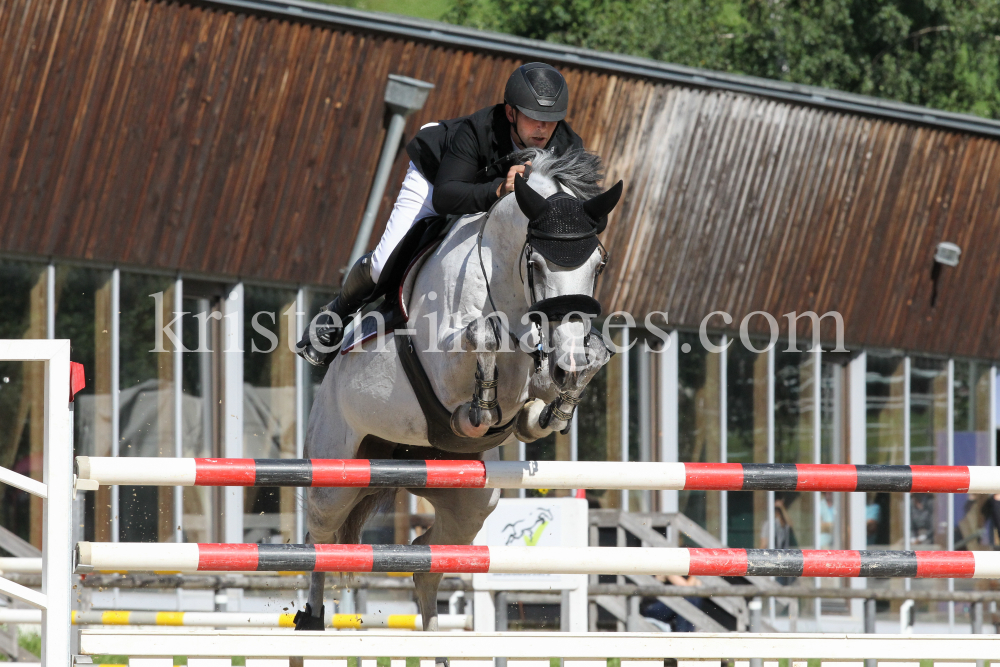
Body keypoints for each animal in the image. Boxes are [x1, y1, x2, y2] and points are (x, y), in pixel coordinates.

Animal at [298, 150, 624, 640]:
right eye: (536, 264)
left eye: (598, 265)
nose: (566, 365)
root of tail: (398, 457)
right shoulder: (444, 364)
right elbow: (484, 335)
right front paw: (480, 409)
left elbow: (585, 362)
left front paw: (552, 409)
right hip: (335, 475)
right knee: (319, 540)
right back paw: (311, 619)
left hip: (470, 498)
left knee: (427, 557)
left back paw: (435, 637)